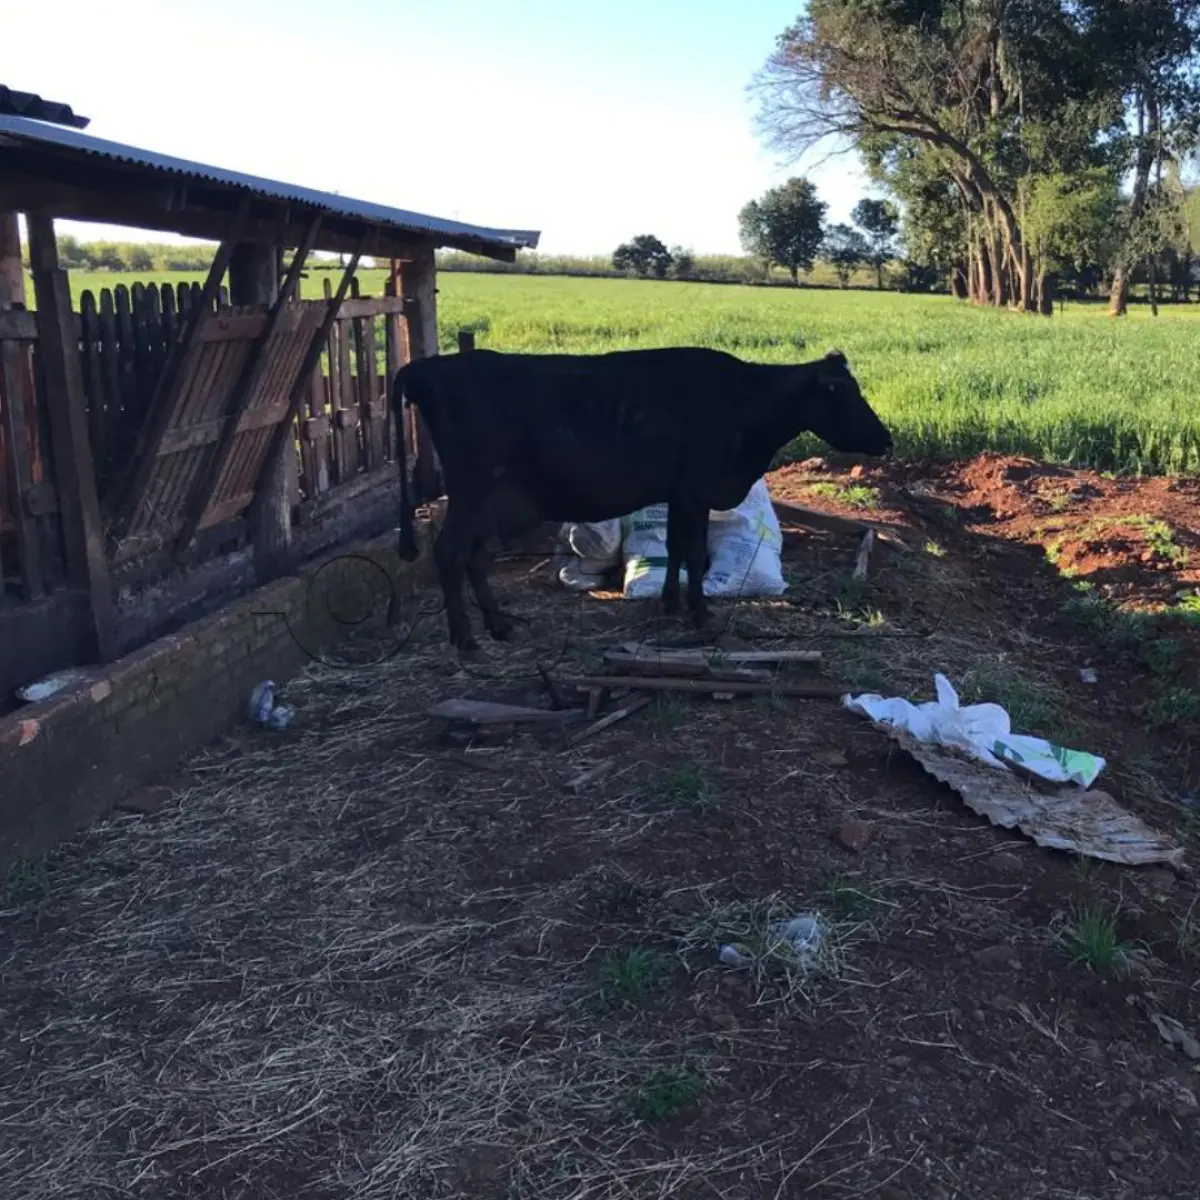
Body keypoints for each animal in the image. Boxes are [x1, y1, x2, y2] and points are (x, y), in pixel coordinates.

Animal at [392, 346, 893, 653]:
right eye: (843, 394)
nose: (887, 439)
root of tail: (428, 367)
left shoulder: (677, 492)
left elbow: (674, 548)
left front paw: (670, 604)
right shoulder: (696, 487)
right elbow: (694, 551)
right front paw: (700, 614)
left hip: (489, 499)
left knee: (474, 555)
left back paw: (498, 626)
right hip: (471, 490)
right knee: (449, 552)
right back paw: (466, 641)